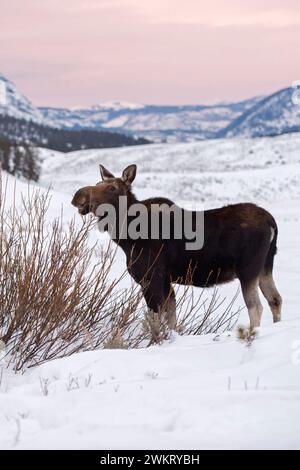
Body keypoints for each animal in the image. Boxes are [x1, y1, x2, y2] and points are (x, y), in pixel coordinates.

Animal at [71, 165, 282, 330]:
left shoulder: (152, 278)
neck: (125, 237)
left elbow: (156, 321)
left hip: (248, 269)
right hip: (265, 267)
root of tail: (272, 223)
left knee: (256, 307)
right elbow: (171, 319)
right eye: (97, 184)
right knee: (275, 299)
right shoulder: (166, 281)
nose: (77, 196)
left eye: (112, 187)